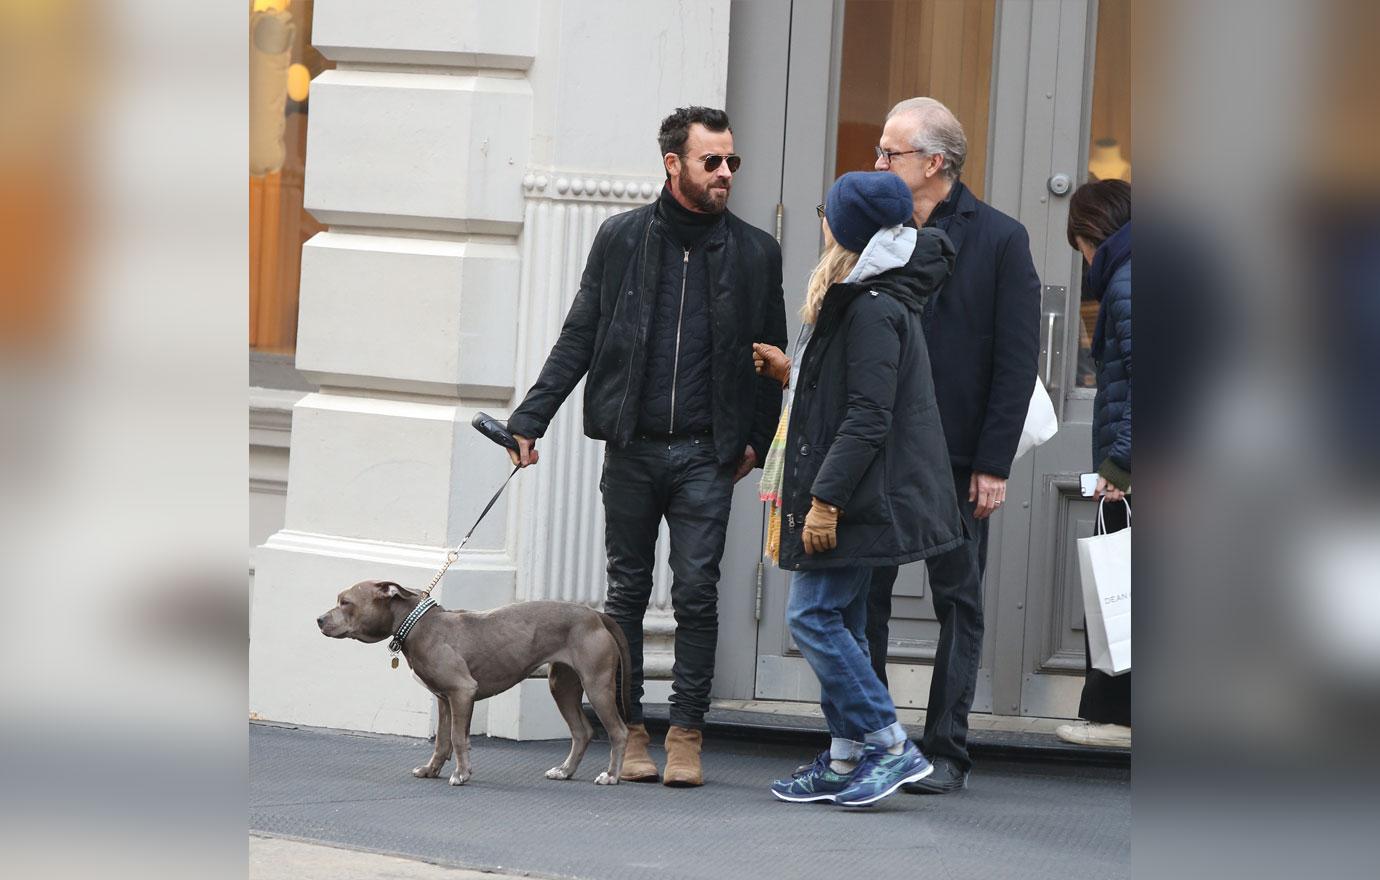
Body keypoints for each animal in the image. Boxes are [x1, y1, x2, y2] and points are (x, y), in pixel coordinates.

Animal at [317, 582, 632, 788]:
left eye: (346, 602)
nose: (319, 619)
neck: (419, 626)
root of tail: (595, 615)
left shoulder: (462, 691)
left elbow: (458, 738)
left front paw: (461, 774)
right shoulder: (444, 699)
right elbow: (442, 741)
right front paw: (431, 770)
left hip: (597, 685)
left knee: (618, 731)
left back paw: (611, 775)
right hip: (562, 686)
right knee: (582, 731)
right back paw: (565, 771)